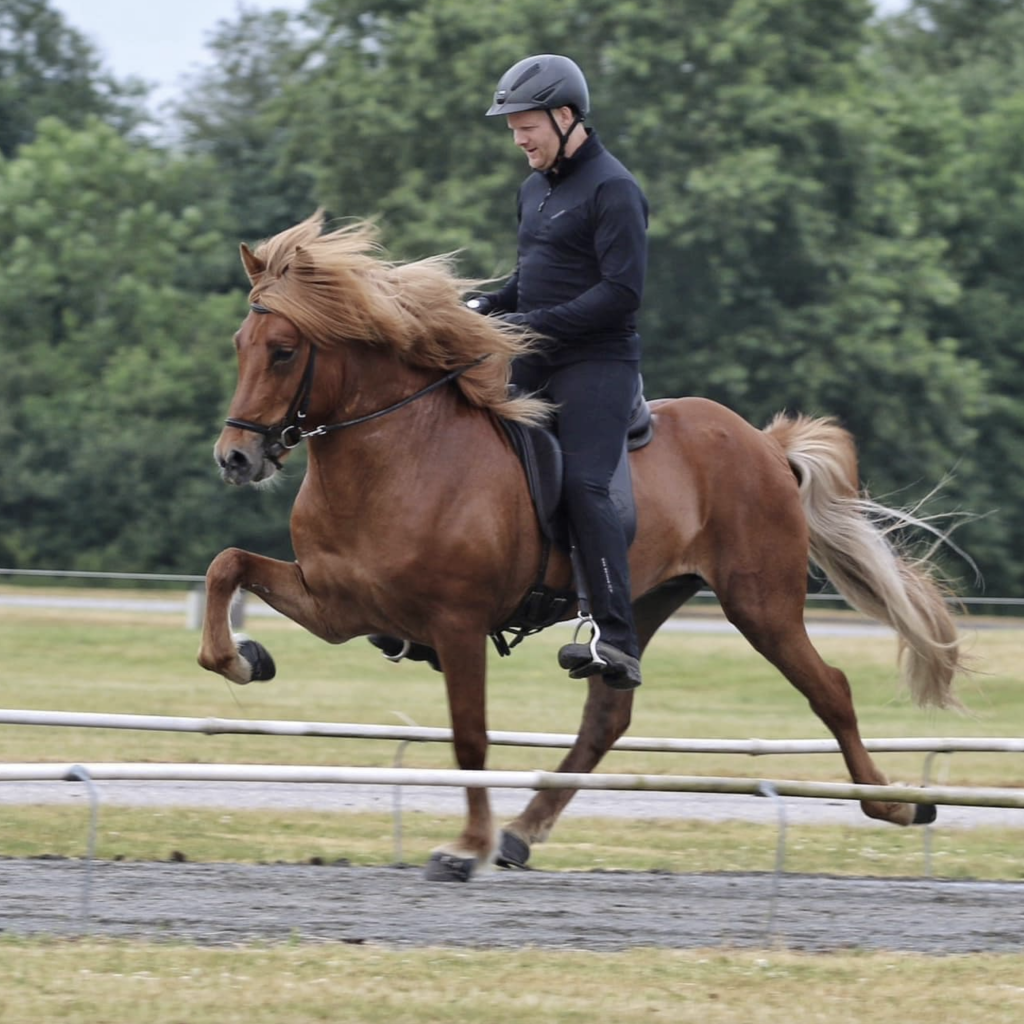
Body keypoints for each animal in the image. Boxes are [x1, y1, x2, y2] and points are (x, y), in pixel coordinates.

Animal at [197, 209, 958, 880]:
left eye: (284, 351)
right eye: (236, 343)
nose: (235, 458)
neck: (400, 453)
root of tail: (764, 445)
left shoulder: (457, 624)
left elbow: (469, 733)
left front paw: (463, 849)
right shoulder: (339, 607)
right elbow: (226, 566)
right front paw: (243, 659)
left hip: (761, 604)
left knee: (830, 690)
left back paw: (894, 805)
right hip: (643, 602)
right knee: (608, 716)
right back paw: (522, 832)